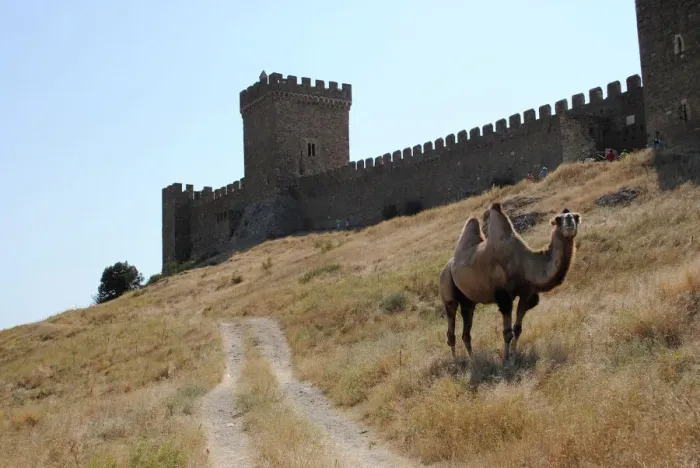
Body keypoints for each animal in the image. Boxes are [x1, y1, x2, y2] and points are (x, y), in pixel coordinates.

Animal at [439, 202, 581, 363]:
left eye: (577, 217)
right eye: (557, 219)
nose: (569, 219)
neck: (524, 264)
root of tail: (447, 266)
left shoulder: (526, 294)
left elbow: (517, 329)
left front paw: (514, 354)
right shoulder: (504, 297)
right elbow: (507, 332)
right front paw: (507, 360)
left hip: (468, 300)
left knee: (466, 331)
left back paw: (473, 360)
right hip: (447, 287)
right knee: (451, 329)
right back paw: (456, 360)